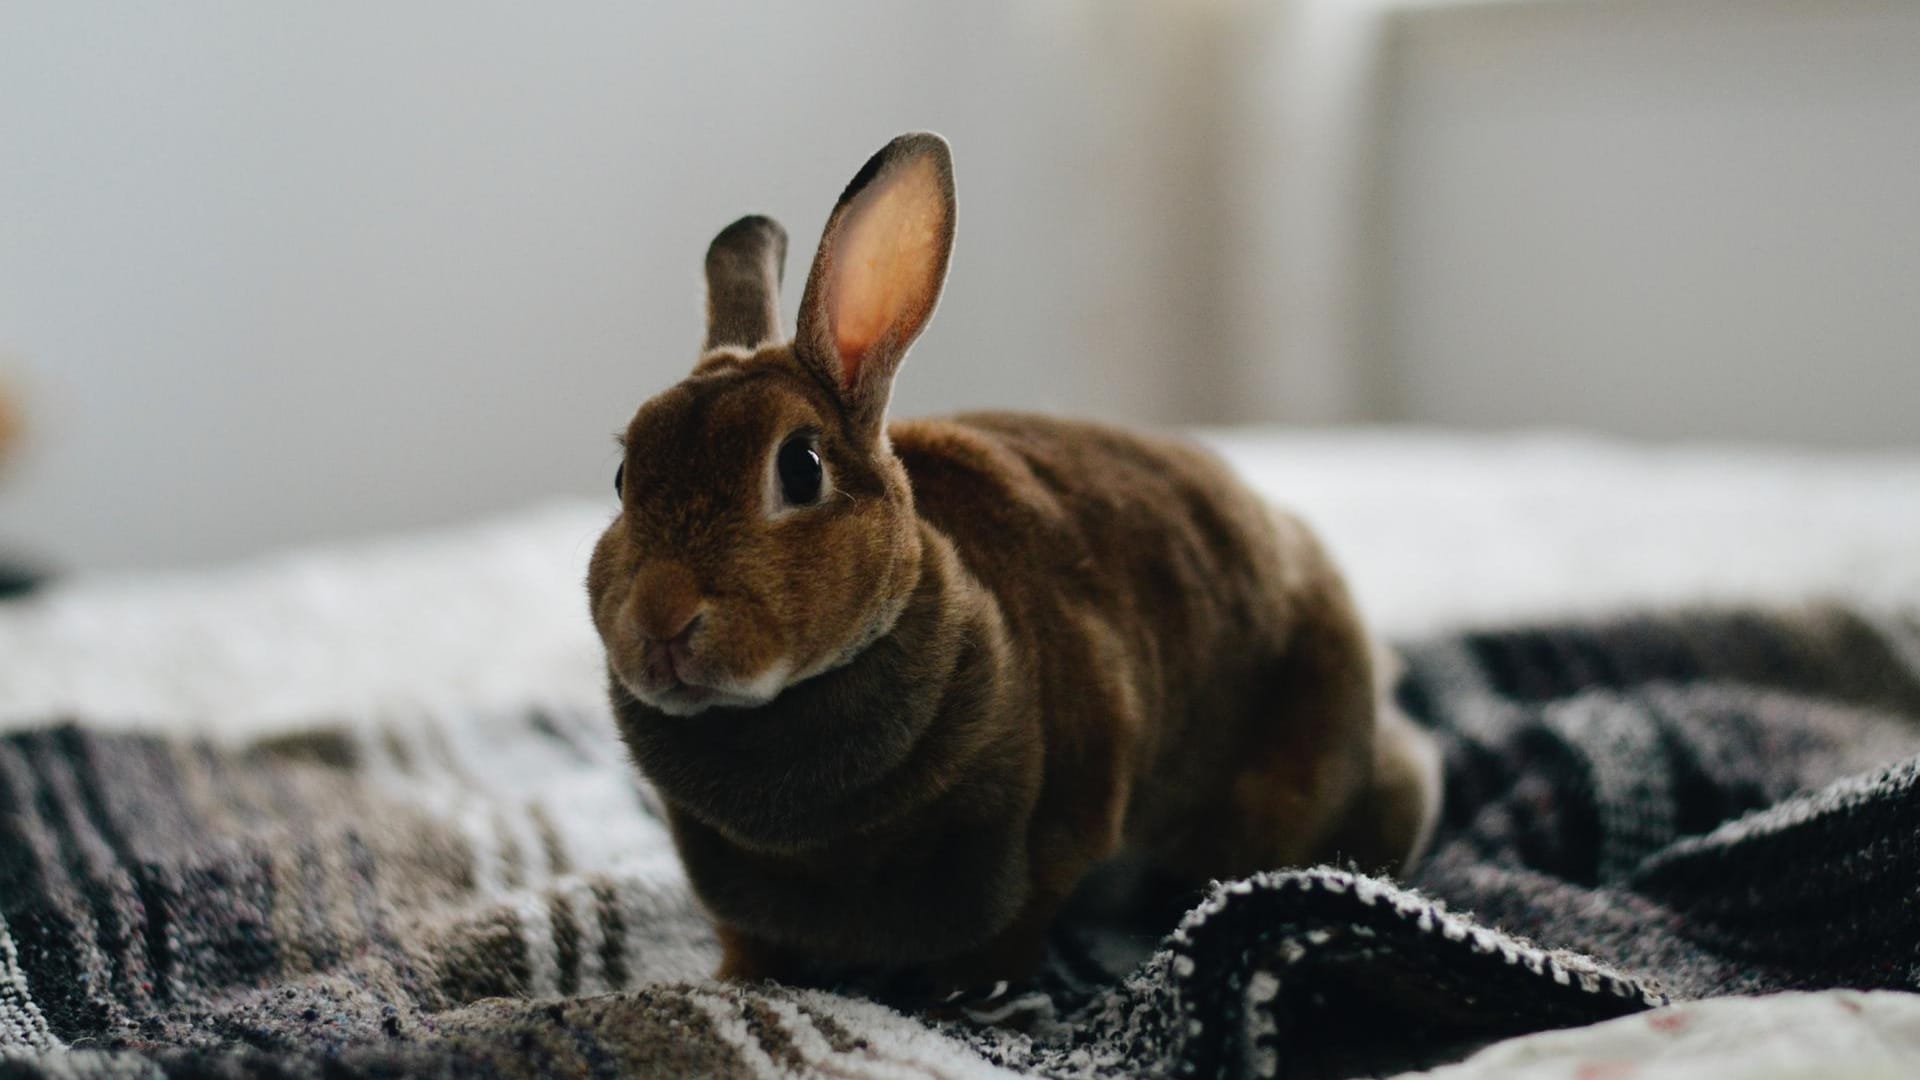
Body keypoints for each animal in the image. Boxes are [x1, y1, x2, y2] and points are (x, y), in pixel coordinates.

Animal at [587, 134, 1443, 999]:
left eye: (800, 468)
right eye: (624, 479)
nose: (660, 619)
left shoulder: (1060, 815)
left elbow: (1020, 918)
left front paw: (971, 997)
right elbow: (749, 940)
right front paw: (733, 982)